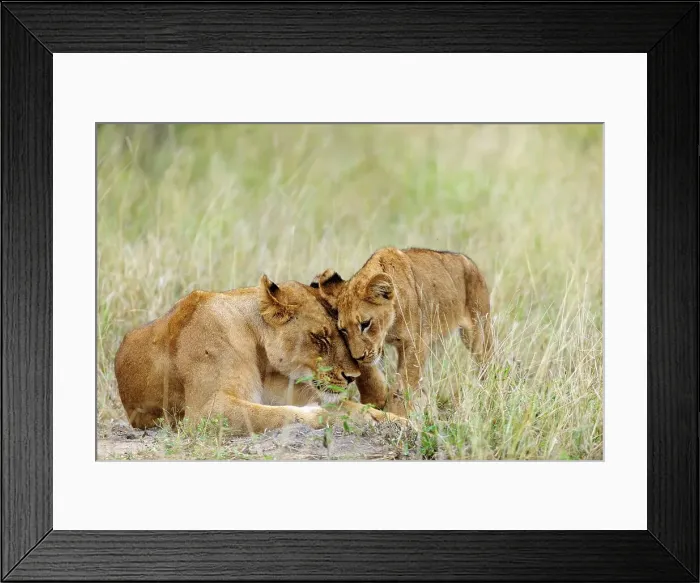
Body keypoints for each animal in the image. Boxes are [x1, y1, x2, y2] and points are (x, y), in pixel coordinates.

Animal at [114, 275, 407, 436]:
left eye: (343, 333)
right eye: (320, 337)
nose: (352, 376)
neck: (259, 352)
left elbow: (355, 407)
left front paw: (399, 422)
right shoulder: (204, 412)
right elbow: (279, 415)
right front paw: (327, 417)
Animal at [312, 247, 494, 412]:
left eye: (365, 324)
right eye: (343, 330)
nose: (359, 357)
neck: (390, 326)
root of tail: (469, 262)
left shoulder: (416, 342)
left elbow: (404, 383)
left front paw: (398, 414)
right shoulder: (375, 347)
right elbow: (368, 371)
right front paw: (376, 399)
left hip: (477, 331)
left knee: (487, 360)